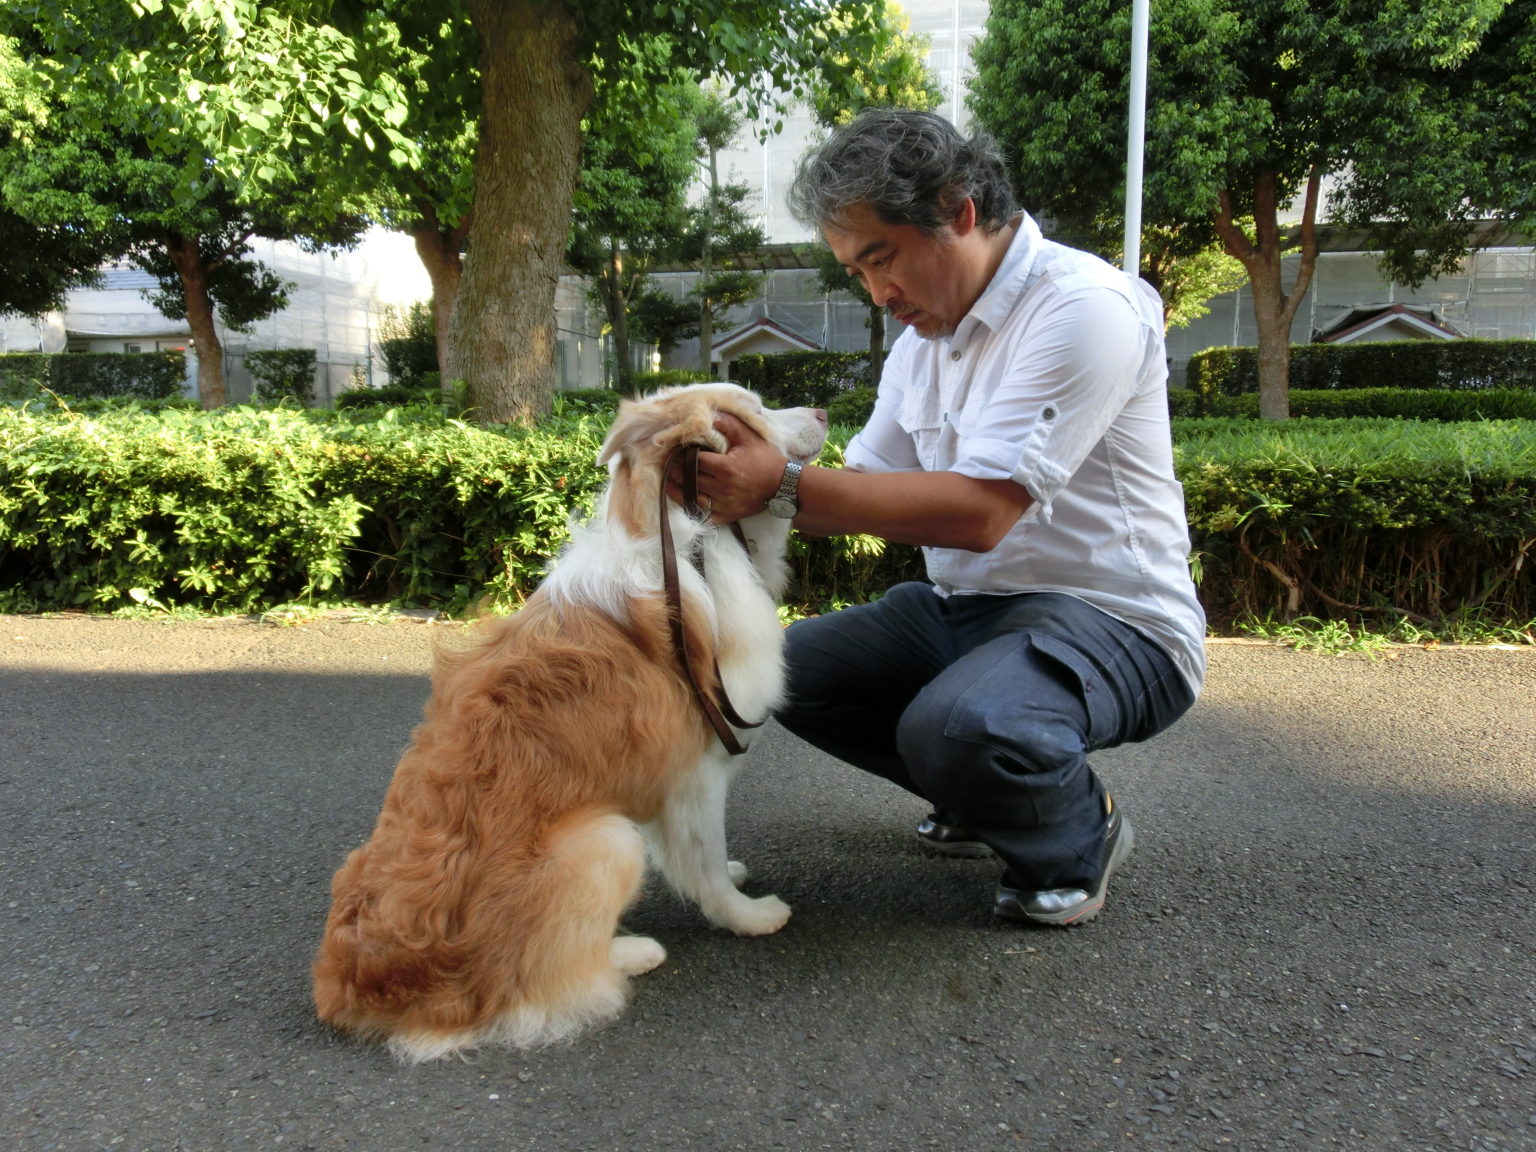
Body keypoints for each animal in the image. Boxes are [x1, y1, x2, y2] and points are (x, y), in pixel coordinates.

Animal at [310, 385, 829, 1062]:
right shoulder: (698, 770)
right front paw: (748, 916)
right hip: (605, 840)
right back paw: (630, 952)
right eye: (756, 412)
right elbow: (707, 863)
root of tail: (362, 985)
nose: (823, 413)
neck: (686, 541)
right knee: (543, 978)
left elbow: (692, 856)